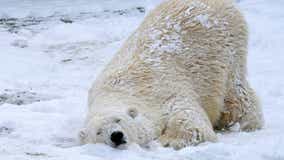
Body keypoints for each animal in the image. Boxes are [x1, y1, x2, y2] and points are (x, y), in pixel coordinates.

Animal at [79, 0, 264, 150]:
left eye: (119, 120)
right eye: (98, 132)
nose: (116, 135)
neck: (122, 90)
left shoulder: (163, 92)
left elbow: (189, 120)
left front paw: (167, 140)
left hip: (229, 50)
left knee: (235, 97)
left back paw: (244, 123)